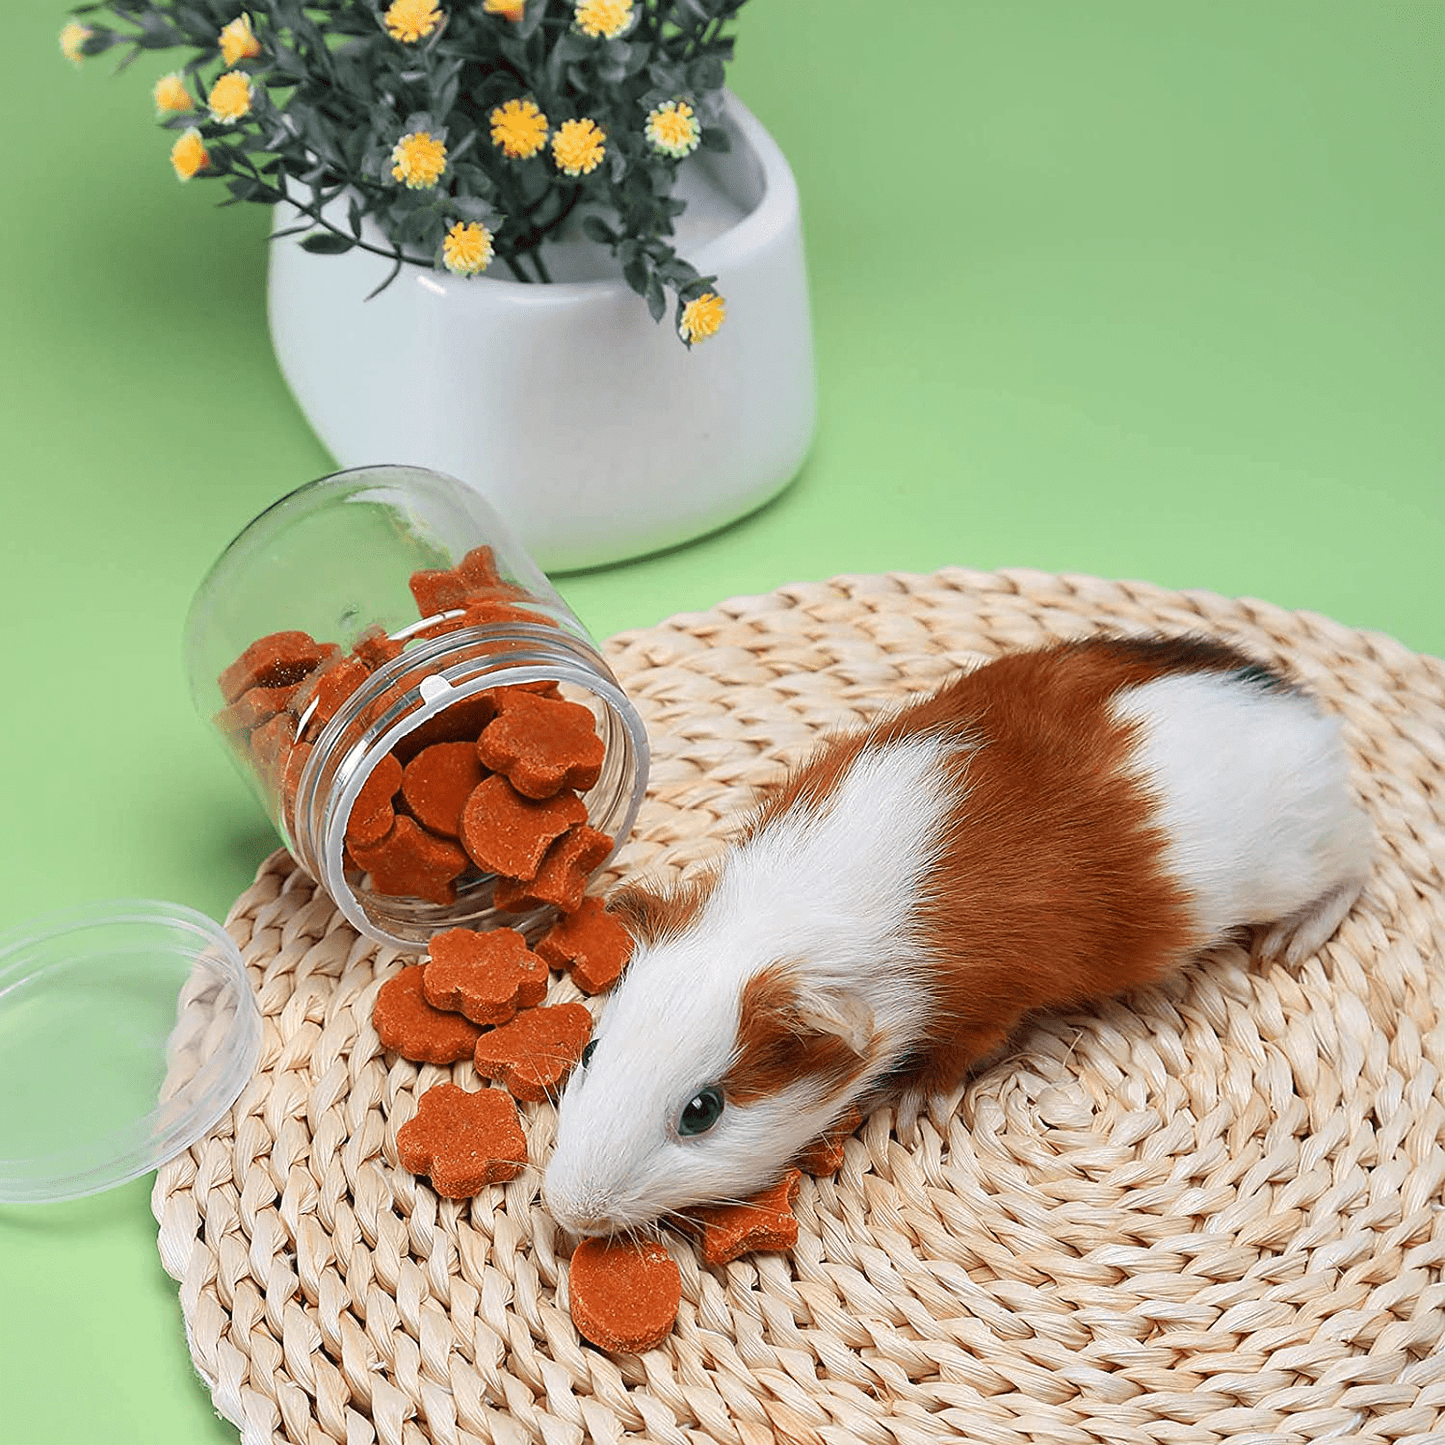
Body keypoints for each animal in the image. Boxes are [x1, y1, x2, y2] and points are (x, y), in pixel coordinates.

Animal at [543, 634, 1372, 1236]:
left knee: (1357, 860)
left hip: (1306, 862)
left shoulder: (982, 1006)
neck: (783, 920)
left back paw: (1289, 942)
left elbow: (948, 1058)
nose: (570, 1209)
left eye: (702, 1110)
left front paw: (907, 1104)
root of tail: (1310, 724)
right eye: (590, 1049)